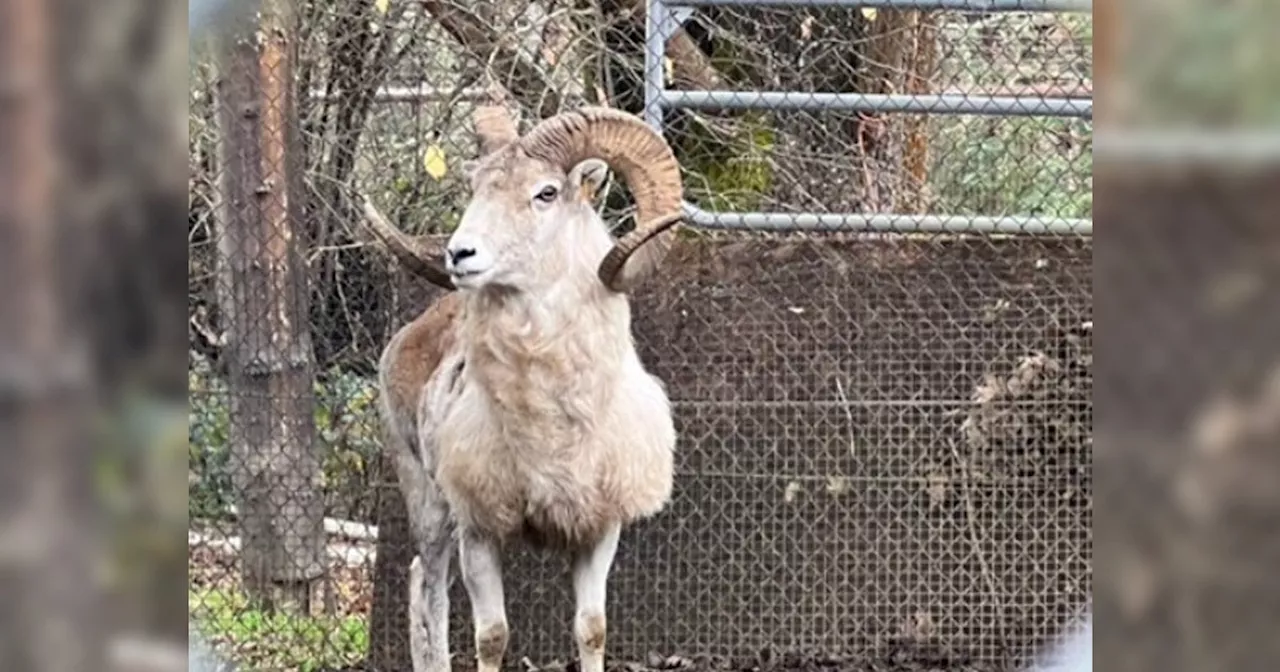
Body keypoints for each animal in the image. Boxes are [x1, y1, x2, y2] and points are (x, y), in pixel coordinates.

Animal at [366, 106, 691, 672]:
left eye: (545, 192)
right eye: (476, 187)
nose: (460, 254)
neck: (552, 429)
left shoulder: (598, 531)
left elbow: (591, 628)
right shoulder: (479, 531)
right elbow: (492, 636)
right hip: (428, 504)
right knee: (427, 592)